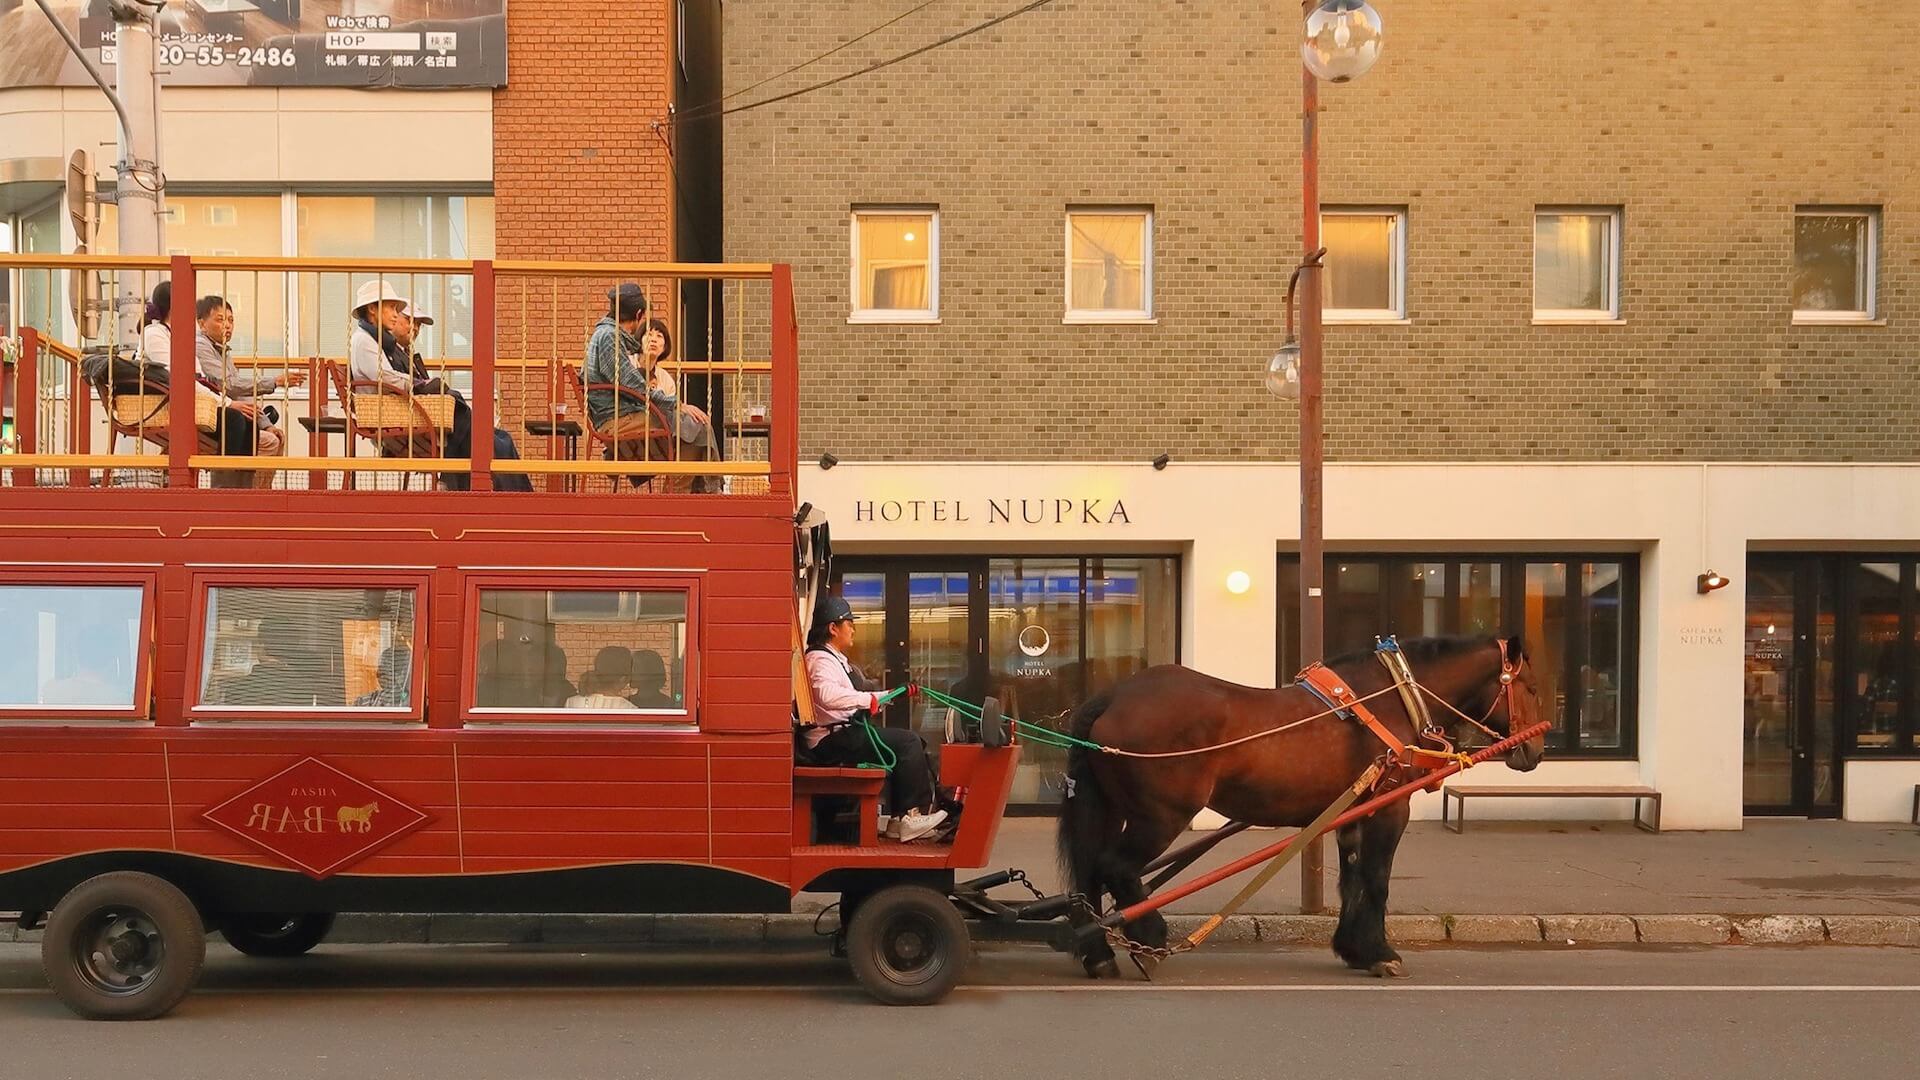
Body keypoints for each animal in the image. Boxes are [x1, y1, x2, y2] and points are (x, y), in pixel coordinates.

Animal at [1059, 630, 1551, 976]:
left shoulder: (1352, 814)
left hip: (1111, 811)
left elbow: (1353, 880)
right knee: (1117, 869)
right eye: (1528, 685)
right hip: (1160, 817)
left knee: (1089, 876)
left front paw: (1355, 949)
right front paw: (1381, 952)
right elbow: (1377, 880)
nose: (1536, 750)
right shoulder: (1388, 809)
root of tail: (1113, 696)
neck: (1394, 699)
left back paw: (1098, 954)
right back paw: (1151, 940)